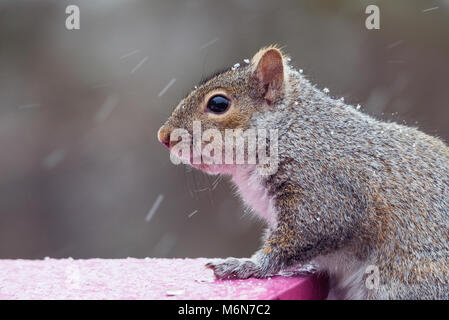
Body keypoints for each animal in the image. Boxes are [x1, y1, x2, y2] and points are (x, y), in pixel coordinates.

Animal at [158, 45, 448, 300]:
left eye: (218, 103)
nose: (164, 136)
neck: (289, 129)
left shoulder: (320, 189)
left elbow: (306, 233)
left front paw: (245, 266)